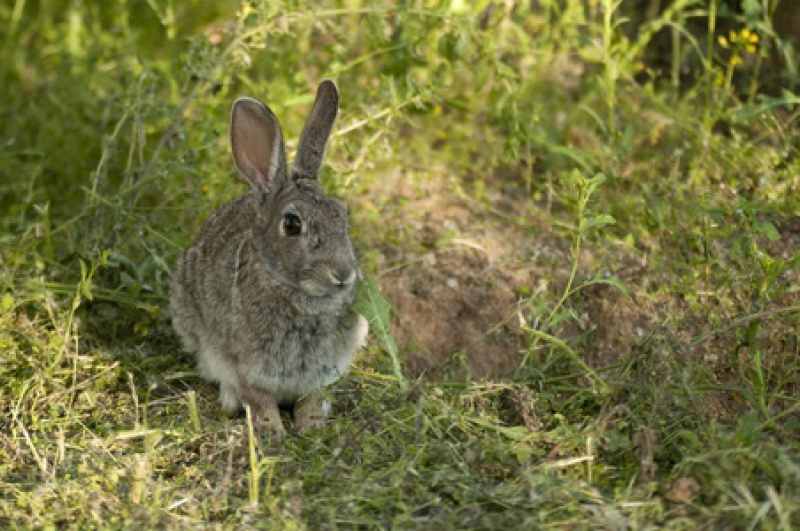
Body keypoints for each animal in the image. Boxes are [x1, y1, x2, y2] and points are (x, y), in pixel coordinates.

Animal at [171, 78, 368, 436]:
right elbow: (258, 398)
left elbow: (312, 398)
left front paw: (312, 425)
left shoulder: (321, 372)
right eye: (292, 224)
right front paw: (272, 431)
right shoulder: (247, 366)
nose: (343, 274)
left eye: (343, 214)